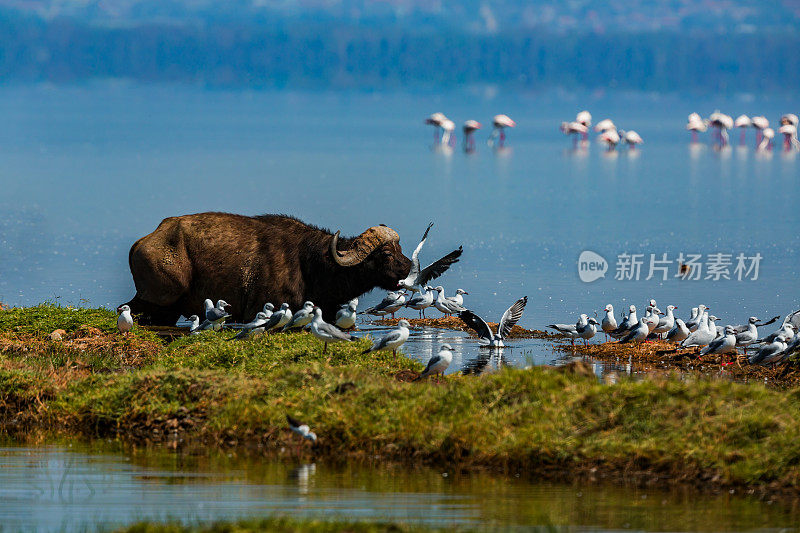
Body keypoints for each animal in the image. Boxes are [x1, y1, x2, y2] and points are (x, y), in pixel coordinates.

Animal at [123, 213, 418, 324]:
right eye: (387, 253)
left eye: (400, 248)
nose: (408, 267)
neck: (311, 265)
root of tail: (145, 241)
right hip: (160, 296)